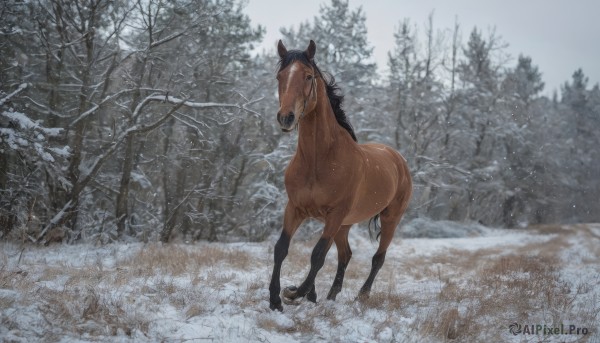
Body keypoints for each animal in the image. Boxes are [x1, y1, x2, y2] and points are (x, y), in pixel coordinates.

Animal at [268, 39, 412, 312]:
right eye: (279, 76)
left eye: (308, 76)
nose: (285, 118)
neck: (319, 160)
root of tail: (398, 159)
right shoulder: (295, 208)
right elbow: (281, 248)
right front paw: (275, 300)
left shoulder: (334, 215)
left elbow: (318, 255)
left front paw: (293, 293)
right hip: (345, 225)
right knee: (346, 255)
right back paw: (331, 295)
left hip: (389, 219)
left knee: (378, 258)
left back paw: (361, 295)